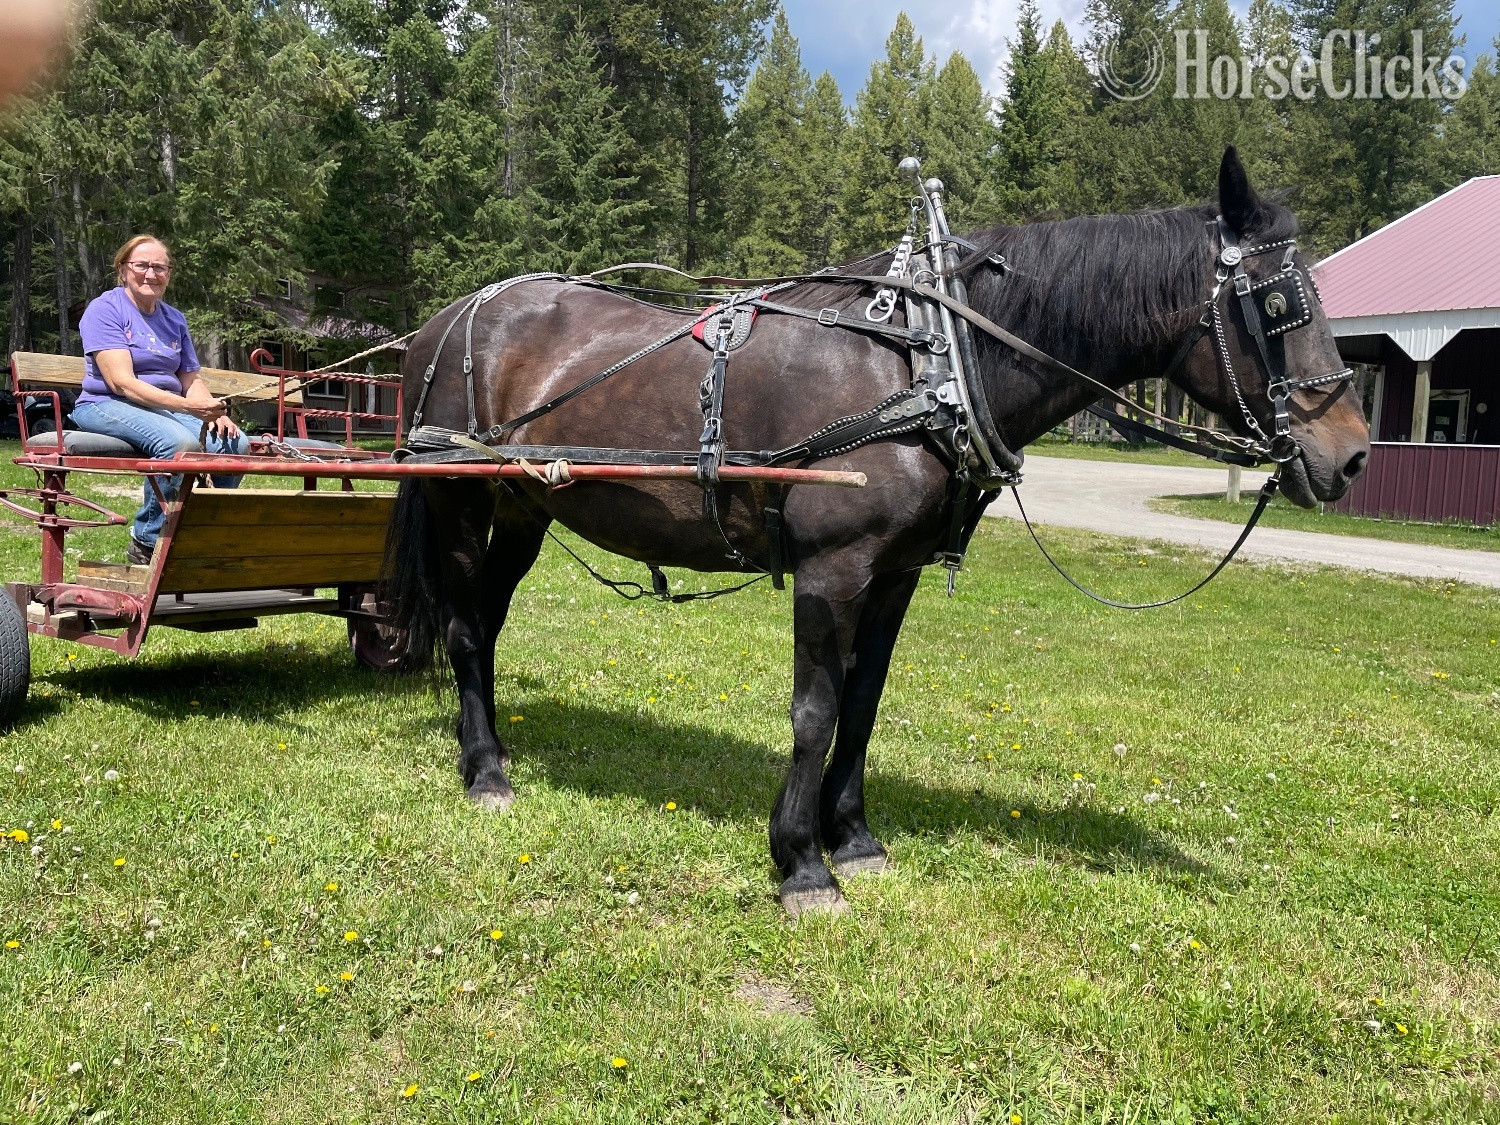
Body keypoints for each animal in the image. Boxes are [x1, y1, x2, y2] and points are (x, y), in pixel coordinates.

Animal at [386, 148, 1370, 916]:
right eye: (1277, 304)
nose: (1353, 454)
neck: (926, 361)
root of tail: (444, 320)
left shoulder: (894, 574)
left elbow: (862, 704)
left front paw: (852, 836)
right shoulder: (834, 569)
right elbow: (815, 709)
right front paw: (801, 862)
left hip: (524, 508)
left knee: (489, 625)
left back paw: (492, 750)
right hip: (459, 503)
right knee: (467, 629)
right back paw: (487, 770)